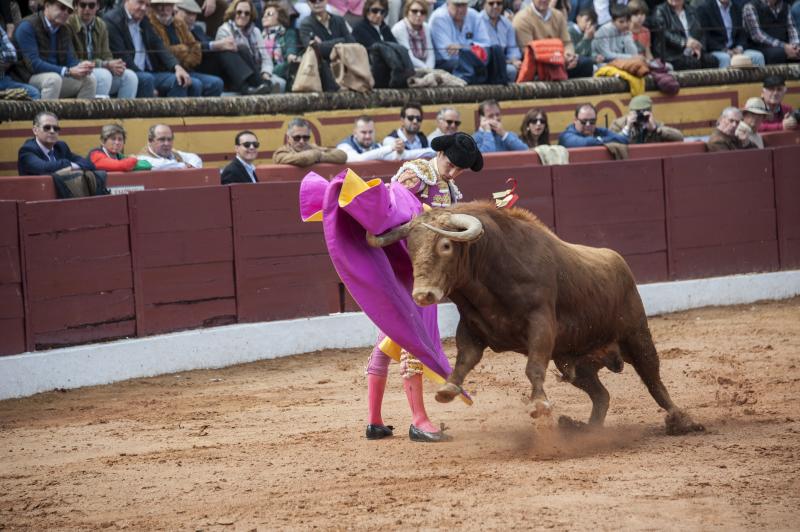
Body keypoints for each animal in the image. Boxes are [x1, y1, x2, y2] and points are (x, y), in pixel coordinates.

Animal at [370, 202, 708, 434]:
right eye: (411, 248)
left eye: (445, 245)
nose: (422, 295)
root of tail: (619, 261)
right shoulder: (472, 329)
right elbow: (464, 360)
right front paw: (447, 389)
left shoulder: (541, 325)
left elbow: (533, 366)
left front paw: (539, 405)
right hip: (576, 363)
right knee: (602, 395)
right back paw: (586, 429)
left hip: (637, 335)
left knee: (654, 382)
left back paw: (682, 421)